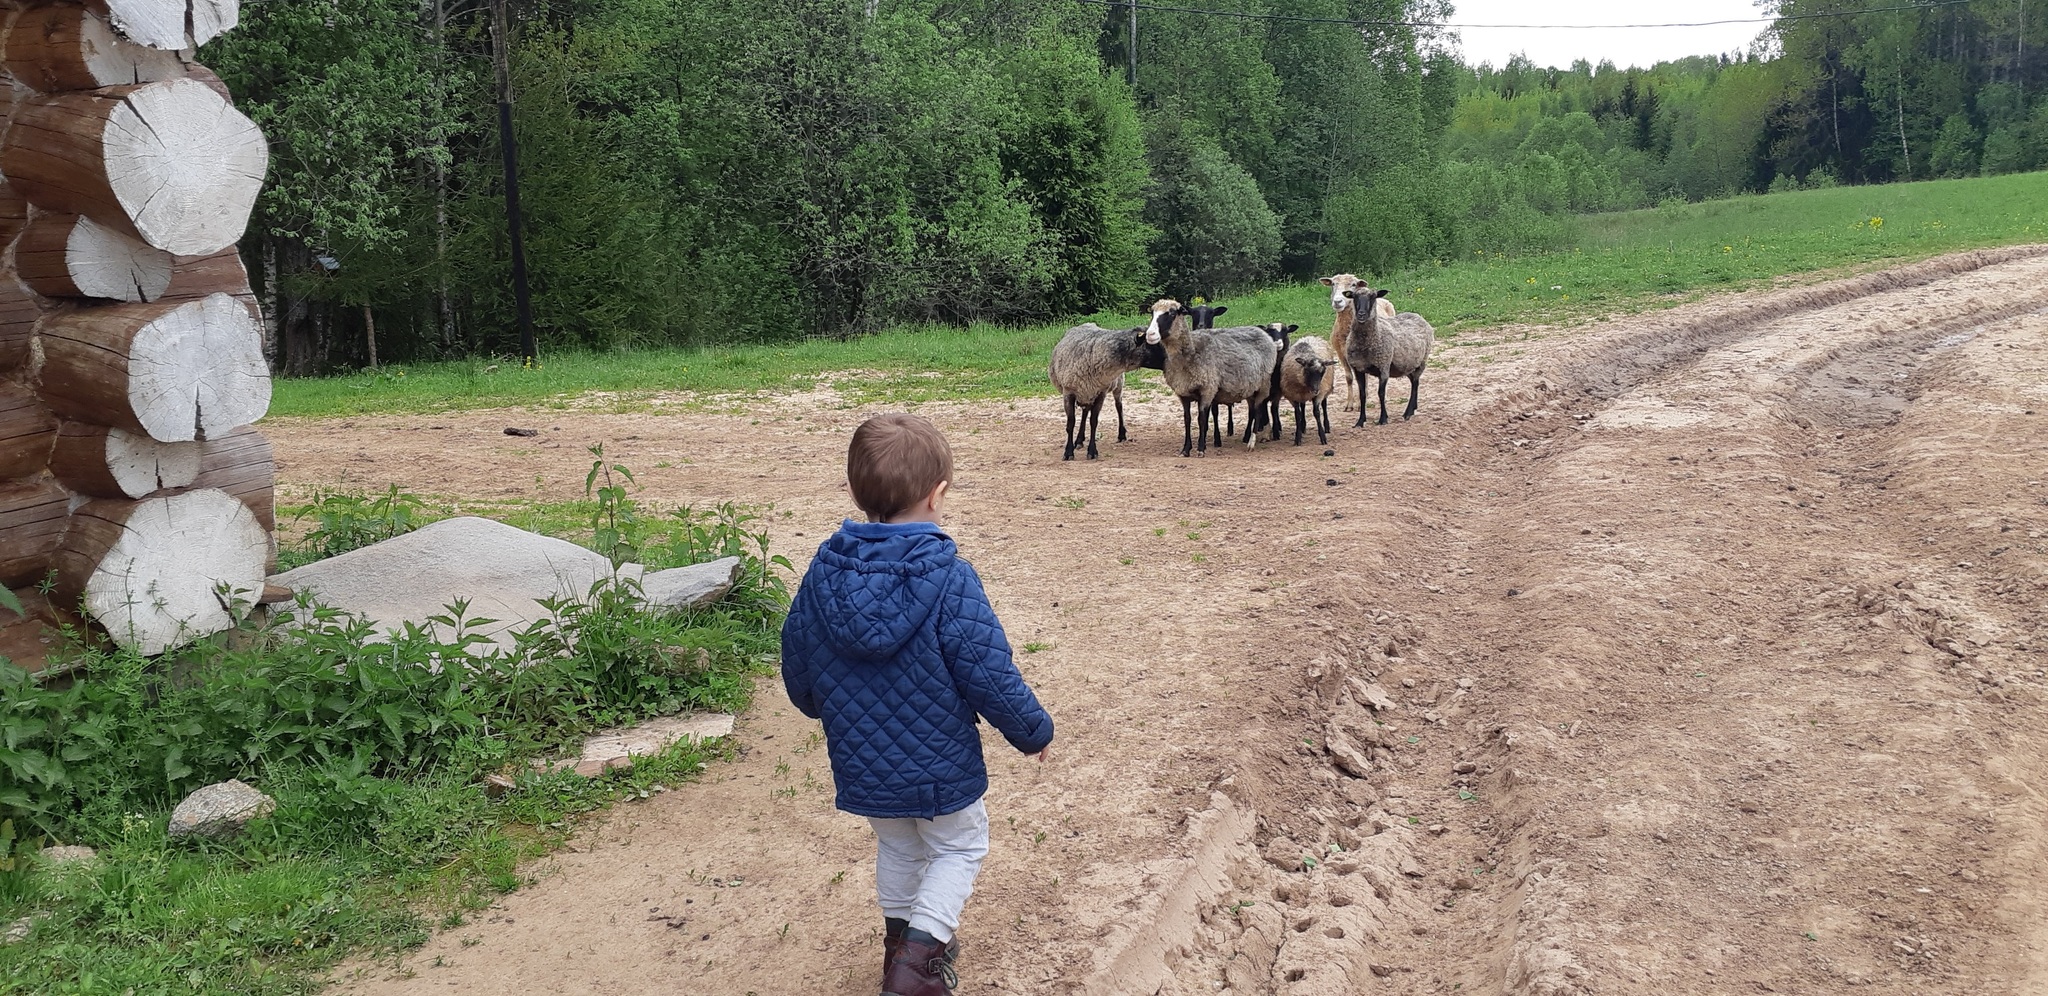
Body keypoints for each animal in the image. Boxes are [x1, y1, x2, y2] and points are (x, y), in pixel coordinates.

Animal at [1048, 323, 1146, 459]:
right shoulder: (1069, 392)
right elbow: (1071, 423)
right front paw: (1069, 452)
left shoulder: (1101, 393)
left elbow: (1094, 421)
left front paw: (1092, 451)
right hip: (1086, 393)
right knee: (1085, 412)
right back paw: (1079, 440)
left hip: (1117, 384)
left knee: (1119, 405)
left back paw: (1121, 434)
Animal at [1343, 286, 1441, 428]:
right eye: (1354, 297)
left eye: (1373, 297)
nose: (1361, 314)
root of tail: (1418, 315)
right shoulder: (1358, 368)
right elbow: (1362, 395)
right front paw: (1360, 421)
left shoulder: (1384, 366)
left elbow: (1381, 393)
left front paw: (1383, 419)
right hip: (1407, 365)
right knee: (1414, 382)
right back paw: (1413, 408)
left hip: (1421, 361)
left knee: (1415, 384)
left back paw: (1408, 413)